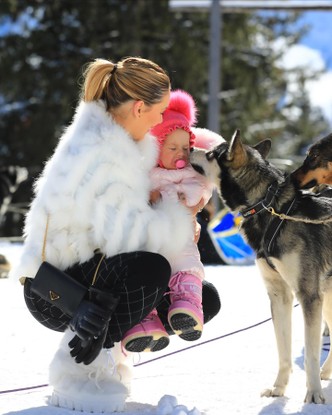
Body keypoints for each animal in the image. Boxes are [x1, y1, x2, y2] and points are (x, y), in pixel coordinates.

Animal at [191, 131, 332, 406]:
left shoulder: (309, 296)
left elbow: (310, 354)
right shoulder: (279, 295)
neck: (270, 207)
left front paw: (313, 393)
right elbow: (283, 351)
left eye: (212, 153)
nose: (190, 146)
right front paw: (279, 388)